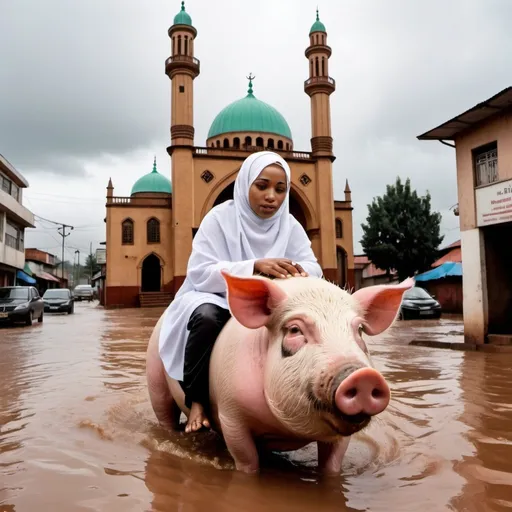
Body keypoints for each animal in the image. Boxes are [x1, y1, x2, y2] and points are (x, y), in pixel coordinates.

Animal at [145, 270, 412, 474]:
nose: (363, 376)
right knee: (165, 415)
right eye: (294, 330)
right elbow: (247, 462)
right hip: (155, 375)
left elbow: (331, 466)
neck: (283, 428)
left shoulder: (340, 436)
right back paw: (190, 426)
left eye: (359, 330)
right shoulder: (231, 413)